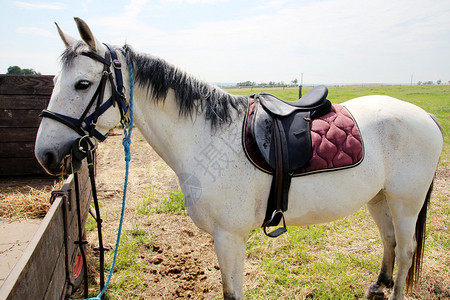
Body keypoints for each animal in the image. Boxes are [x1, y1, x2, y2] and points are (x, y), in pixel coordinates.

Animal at [35, 17, 442, 298]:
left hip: (405, 201)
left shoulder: (229, 237)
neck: (206, 135)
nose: (46, 154)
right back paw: (378, 285)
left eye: (82, 84)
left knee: (407, 249)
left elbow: (232, 292)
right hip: (379, 197)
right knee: (390, 242)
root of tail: (426, 116)